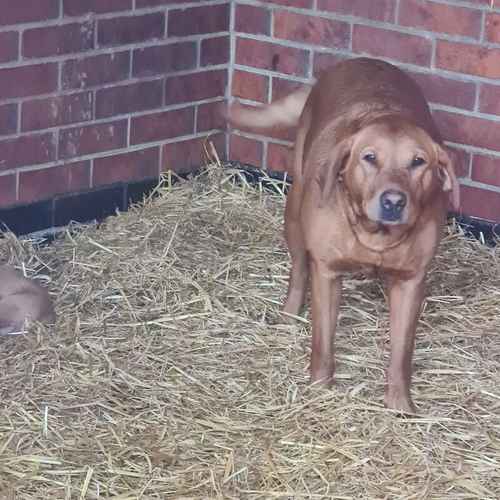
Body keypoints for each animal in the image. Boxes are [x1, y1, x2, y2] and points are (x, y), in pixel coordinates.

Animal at [229, 57, 458, 414]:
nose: (394, 201)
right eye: (370, 158)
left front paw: (400, 404)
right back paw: (289, 314)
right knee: (298, 269)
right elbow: (323, 341)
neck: (374, 236)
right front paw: (320, 389)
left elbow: (401, 353)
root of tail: (362, 60)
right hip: (294, 211)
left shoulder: (410, 281)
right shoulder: (326, 272)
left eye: (418, 162)